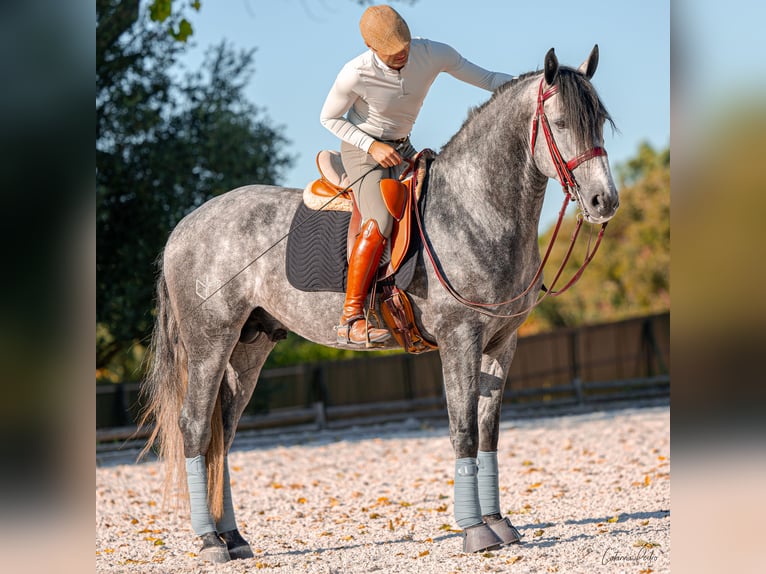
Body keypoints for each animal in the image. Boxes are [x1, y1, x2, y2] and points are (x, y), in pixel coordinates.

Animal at [140, 46, 616, 568]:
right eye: (561, 121)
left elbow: (489, 432)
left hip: (249, 348)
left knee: (222, 433)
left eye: (600, 121)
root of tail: (184, 226)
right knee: (195, 427)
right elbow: (464, 430)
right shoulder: (460, 340)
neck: (474, 210)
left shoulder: (501, 343)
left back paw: (233, 537)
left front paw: (498, 522)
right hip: (210, 343)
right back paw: (210, 542)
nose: (604, 200)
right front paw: (475, 530)